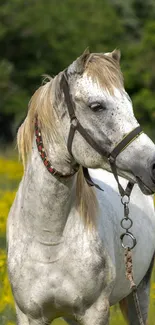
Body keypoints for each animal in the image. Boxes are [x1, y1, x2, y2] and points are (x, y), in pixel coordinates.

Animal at [7, 48, 155, 324]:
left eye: (129, 105)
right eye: (97, 106)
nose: (153, 165)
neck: (49, 239)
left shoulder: (94, 312)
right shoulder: (30, 315)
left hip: (139, 292)